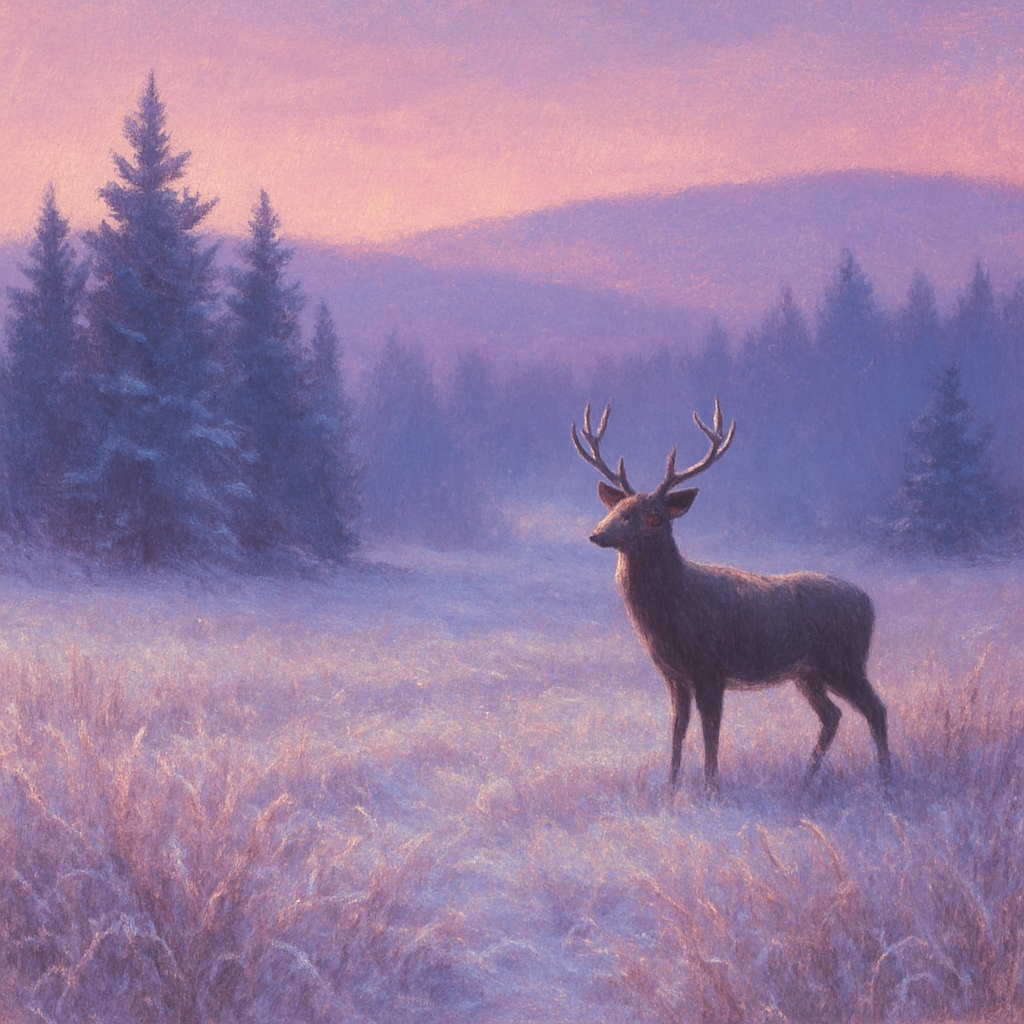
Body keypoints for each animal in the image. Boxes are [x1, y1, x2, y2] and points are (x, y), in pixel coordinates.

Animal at [572, 398, 893, 790]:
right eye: (617, 509)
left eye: (653, 516)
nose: (597, 533)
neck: (674, 610)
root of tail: (868, 602)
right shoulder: (674, 675)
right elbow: (677, 730)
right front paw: (671, 788)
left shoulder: (711, 667)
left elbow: (711, 732)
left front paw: (710, 788)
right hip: (808, 672)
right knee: (832, 715)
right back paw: (804, 782)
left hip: (844, 660)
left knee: (876, 708)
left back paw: (887, 781)